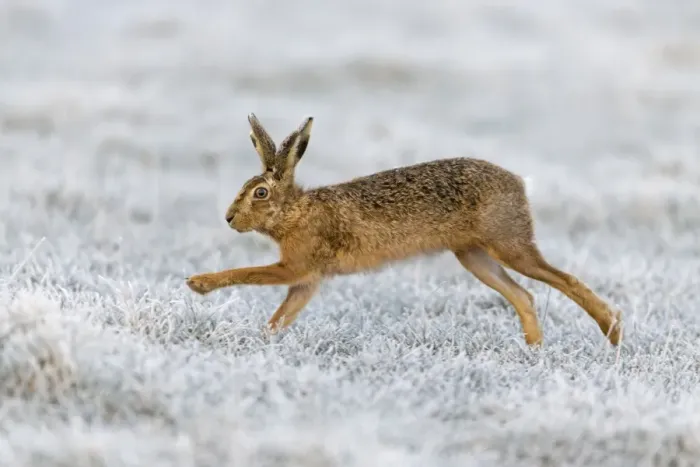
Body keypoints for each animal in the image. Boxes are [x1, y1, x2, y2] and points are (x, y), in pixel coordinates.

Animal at [186, 114, 621, 347]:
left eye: (259, 192)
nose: (229, 218)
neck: (295, 211)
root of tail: (518, 183)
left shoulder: (295, 267)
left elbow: (247, 274)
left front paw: (198, 284)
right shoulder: (306, 280)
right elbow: (281, 316)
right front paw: (263, 340)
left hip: (509, 244)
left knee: (562, 280)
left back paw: (612, 330)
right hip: (473, 256)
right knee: (524, 295)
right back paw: (534, 350)